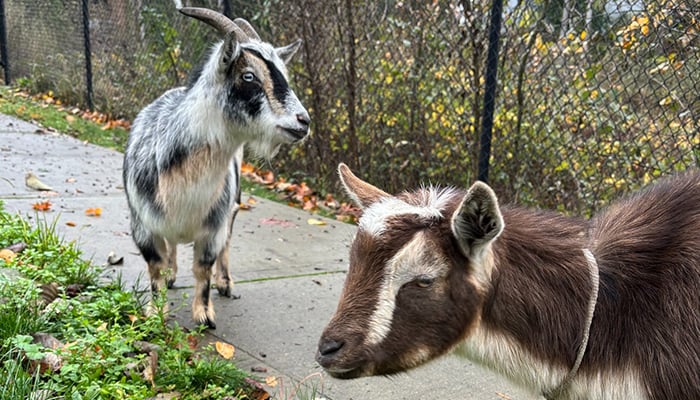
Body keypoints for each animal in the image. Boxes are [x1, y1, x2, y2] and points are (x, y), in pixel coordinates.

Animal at [123, 7, 308, 330]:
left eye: (283, 75)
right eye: (249, 75)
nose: (303, 121)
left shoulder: (213, 227)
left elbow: (203, 268)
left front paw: (204, 315)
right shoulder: (142, 224)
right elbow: (156, 267)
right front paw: (156, 312)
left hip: (232, 206)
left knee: (227, 244)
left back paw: (226, 283)